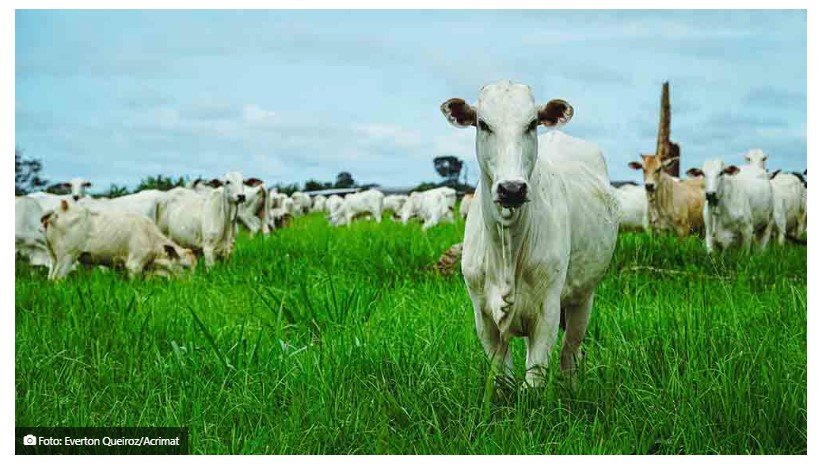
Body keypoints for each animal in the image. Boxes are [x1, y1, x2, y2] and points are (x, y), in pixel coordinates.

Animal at [43, 200, 196, 280]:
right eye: (185, 267)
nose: (192, 284)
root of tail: (58, 210)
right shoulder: (134, 264)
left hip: (54, 257)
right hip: (67, 257)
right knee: (57, 278)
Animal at [440, 80, 618, 386]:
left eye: (532, 123)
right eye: (483, 124)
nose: (512, 189)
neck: (506, 248)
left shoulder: (547, 312)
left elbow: (533, 381)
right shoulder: (483, 317)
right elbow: (504, 381)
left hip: (583, 299)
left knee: (570, 355)